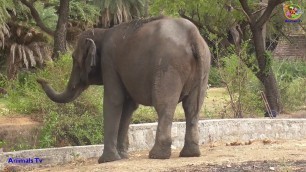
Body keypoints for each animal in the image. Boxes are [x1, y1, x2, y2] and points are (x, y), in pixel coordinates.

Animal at [37, 15, 212, 163]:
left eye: (74, 59)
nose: (40, 79)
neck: (102, 32)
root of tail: (193, 36)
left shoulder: (109, 62)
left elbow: (114, 101)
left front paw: (106, 160)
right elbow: (129, 106)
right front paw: (122, 156)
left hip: (169, 66)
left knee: (164, 105)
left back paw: (157, 155)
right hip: (203, 66)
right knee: (192, 108)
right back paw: (190, 153)